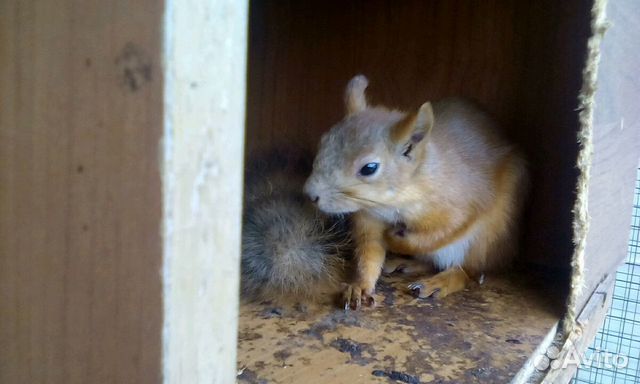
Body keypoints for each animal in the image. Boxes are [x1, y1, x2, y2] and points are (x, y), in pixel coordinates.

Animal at [304, 75, 528, 308]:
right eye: (323, 142)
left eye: (369, 168)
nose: (310, 194)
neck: (392, 202)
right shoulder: (368, 217)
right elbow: (369, 253)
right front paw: (359, 286)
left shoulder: (459, 204)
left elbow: (439, 233)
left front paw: (394, 238)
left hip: (487, 239)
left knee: (468, 271)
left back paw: (441, 281)